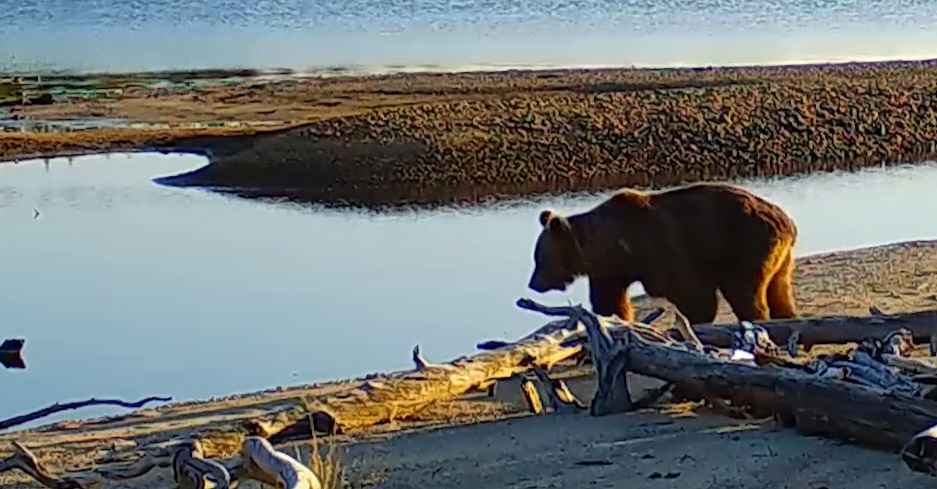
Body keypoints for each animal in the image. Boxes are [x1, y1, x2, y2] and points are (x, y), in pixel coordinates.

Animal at [525, 182, 799, 325]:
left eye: (540, 258)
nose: (533, 283)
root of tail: (787, 221)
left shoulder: (662, 249)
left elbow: (692, 293)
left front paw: (696, 321)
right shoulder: (610, 273)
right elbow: (609, 302)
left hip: (745, 243)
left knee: (743, 290)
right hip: (779, 257)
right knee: (779, 290)